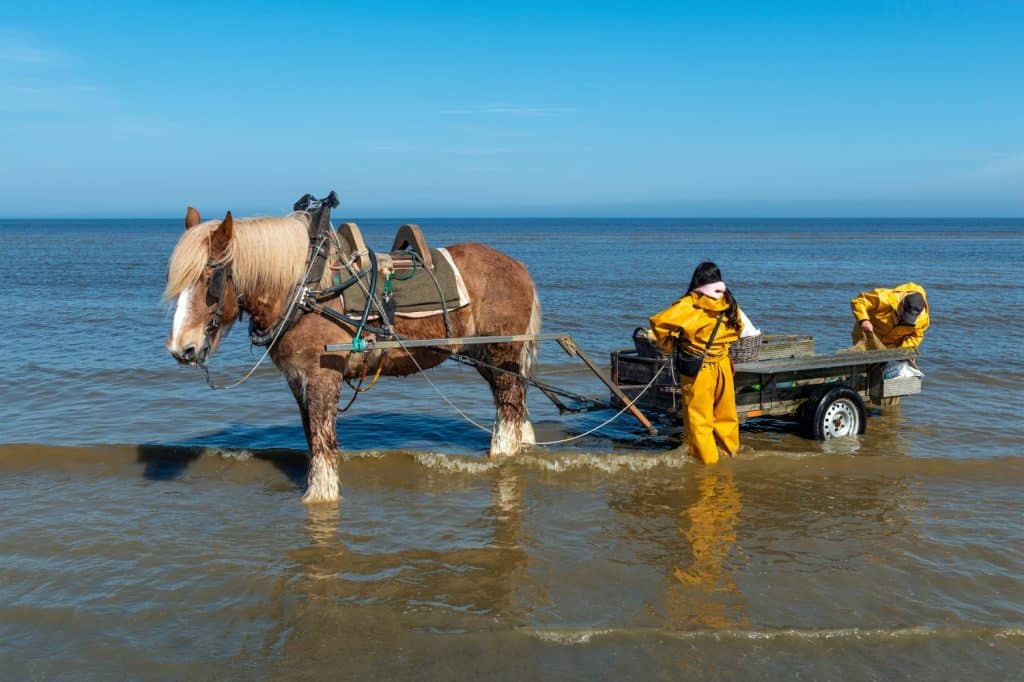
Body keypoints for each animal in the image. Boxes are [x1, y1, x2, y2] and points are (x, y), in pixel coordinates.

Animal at [164, 207, 541, 503]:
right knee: (515, 404)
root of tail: (520, 268)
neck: (304, 290)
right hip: (484, 356)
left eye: (210, 277)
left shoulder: (322, 378)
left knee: (508, 409)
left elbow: (322, 442)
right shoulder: (298, 380)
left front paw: (321, 496)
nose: (182, 348)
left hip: (501, 352)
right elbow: (311, 437)